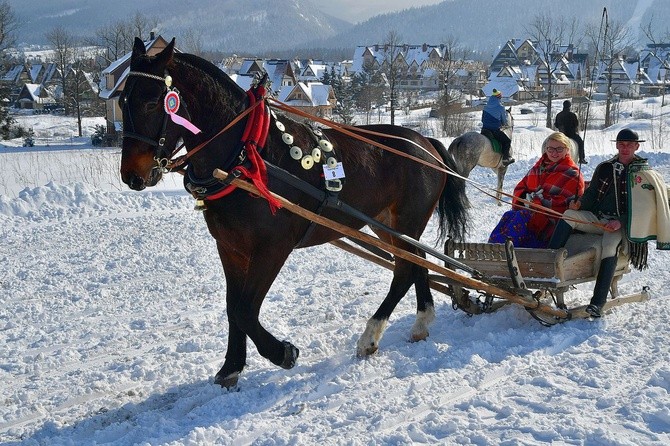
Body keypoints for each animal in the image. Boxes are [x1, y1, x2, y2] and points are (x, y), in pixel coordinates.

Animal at [118, 37, 470, 386]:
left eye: (152, 102)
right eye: (122, 101)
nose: (132, 175)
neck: (246, 155)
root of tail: (424, 141)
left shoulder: (272, 247)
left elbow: (245, 310)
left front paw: (282, 352)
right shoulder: (231, 248)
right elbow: (233, 307)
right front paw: (231, 367)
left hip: (407, 220)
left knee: (405, 270)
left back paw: (370, 336)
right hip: (389, 225)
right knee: (417, 262)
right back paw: (421, 322)